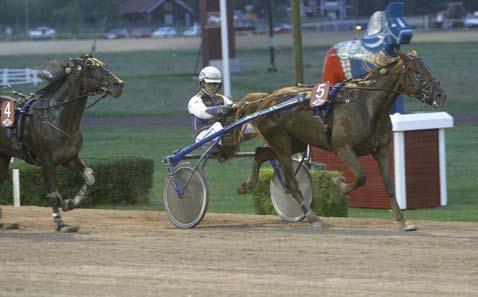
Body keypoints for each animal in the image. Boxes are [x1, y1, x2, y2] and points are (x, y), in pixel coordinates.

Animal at [0, 55, 125, 231]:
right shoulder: (46, 161)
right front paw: (60, 223)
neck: (56, 117)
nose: (118, 84)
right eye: (90, 67)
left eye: (104, 65)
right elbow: (53, 194)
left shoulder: (69, 158)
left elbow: (90, 177)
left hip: (3, 157)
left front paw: (69, 203)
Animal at [233, 50, 446, 231]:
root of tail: (266, 99)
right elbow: (361, 177)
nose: (440, 95)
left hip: (295, 142)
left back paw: (246, 186)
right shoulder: (343, 148)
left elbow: (389, 185)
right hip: (282, 143)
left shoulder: (382, 150)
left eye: (428, 69)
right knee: (291, 183)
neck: (367, 106)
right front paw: (340, 185)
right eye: (417, 72)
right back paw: (313, 218)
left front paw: (402, 221)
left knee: (260, 153)